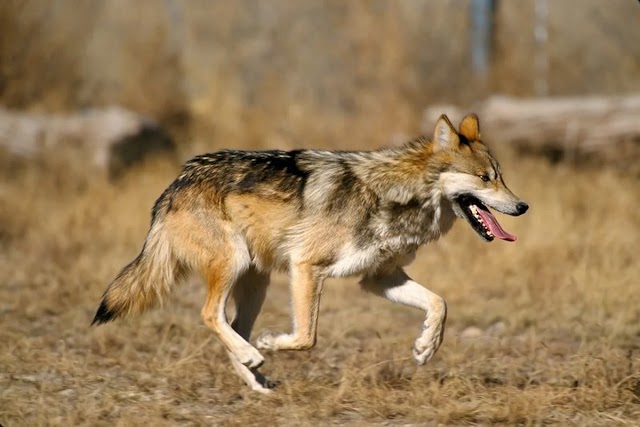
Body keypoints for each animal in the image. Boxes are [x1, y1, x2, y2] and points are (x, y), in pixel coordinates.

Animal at [92, 114, 528, 394]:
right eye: (485, 178)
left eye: (501, 177)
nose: (523, 206)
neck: (397, 195)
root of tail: (176, 182)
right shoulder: (307, 267)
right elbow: (306, 337)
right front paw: (272, 343)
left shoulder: (379, 278)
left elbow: (440, 304)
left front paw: (425, 347)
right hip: (235, 265)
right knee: (211, 315)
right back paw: (255, 355)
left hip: (256, 282)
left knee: (232, 326)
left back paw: (256, 379)